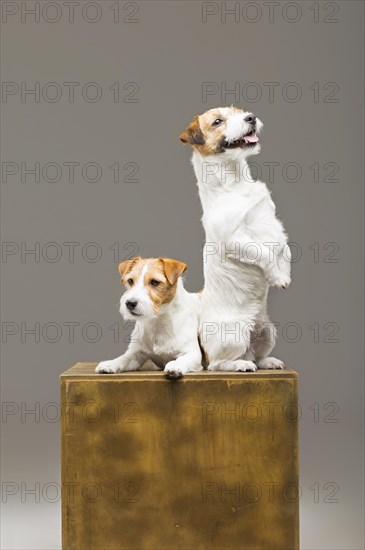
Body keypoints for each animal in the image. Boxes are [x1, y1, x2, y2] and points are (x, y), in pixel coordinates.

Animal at [179, 105, 290, 374]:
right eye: (218, 121)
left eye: (238, 111)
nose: (250, 117)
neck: (235, 182)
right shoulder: (235, 240)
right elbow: (266, 254)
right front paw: (278, 277)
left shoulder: (273, 222)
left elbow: (283, 248)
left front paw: (285, 270)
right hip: (234, 336)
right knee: (217, 364)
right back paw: (239, 365)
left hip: (267, 332)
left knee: (257, 356)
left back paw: (266, 362)